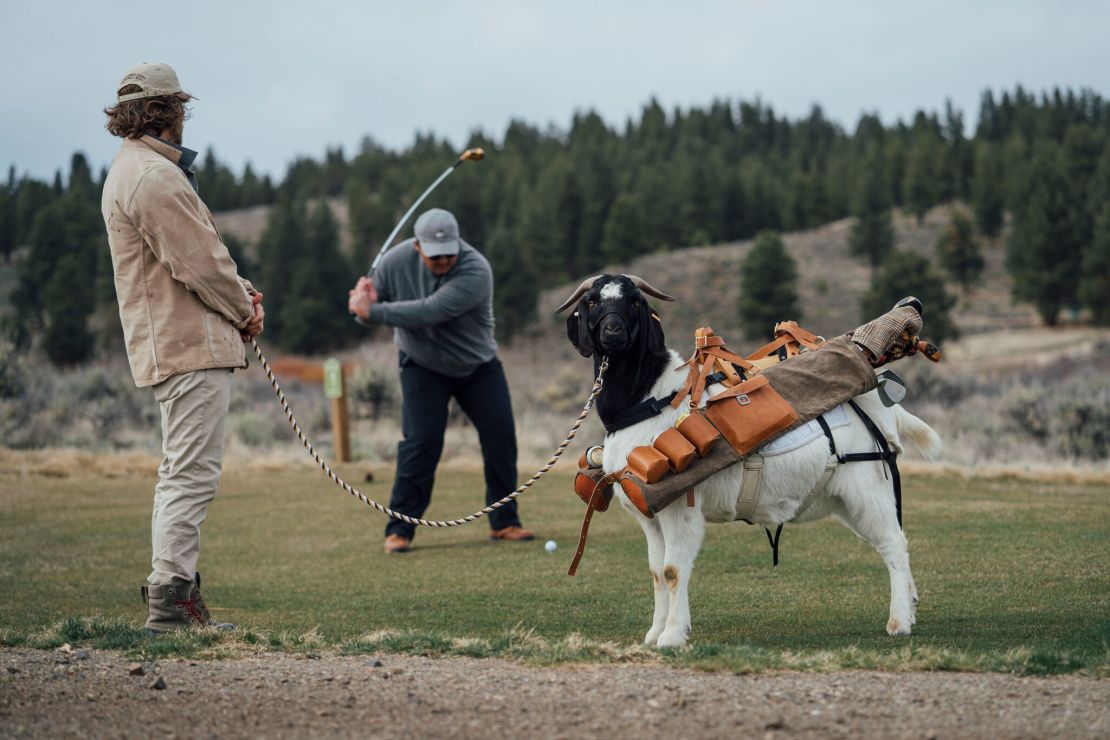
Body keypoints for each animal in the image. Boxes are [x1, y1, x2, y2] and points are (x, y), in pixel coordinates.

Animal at [559, 274, 941, 647]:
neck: (651, 399)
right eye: (592, 301)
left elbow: (673, 570)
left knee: (894, 545)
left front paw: (672, 636)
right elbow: (656, 572)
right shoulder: (649, 517)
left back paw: (899, 622)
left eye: (634, 301)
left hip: (867, 489)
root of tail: (880, 406)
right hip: (845, 499)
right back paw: (911, 606)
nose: (613, 332)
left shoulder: (680, 509)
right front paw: (654, 634)